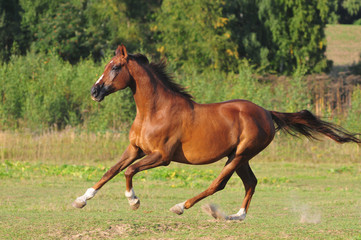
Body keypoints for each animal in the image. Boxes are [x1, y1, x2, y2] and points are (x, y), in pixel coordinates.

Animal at [71, 45, 358, 221]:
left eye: (115, 67)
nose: (94, 92)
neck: (154, 111)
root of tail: (266, 112)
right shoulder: (135, 149)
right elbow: (111, 171)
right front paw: (80, 200)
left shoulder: (161, 157)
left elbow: (128, 172)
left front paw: (134, 201)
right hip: (239, 157)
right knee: (251, 182)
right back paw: (235, 216)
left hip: (240, 155)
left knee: (219, 184)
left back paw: (182, 207)